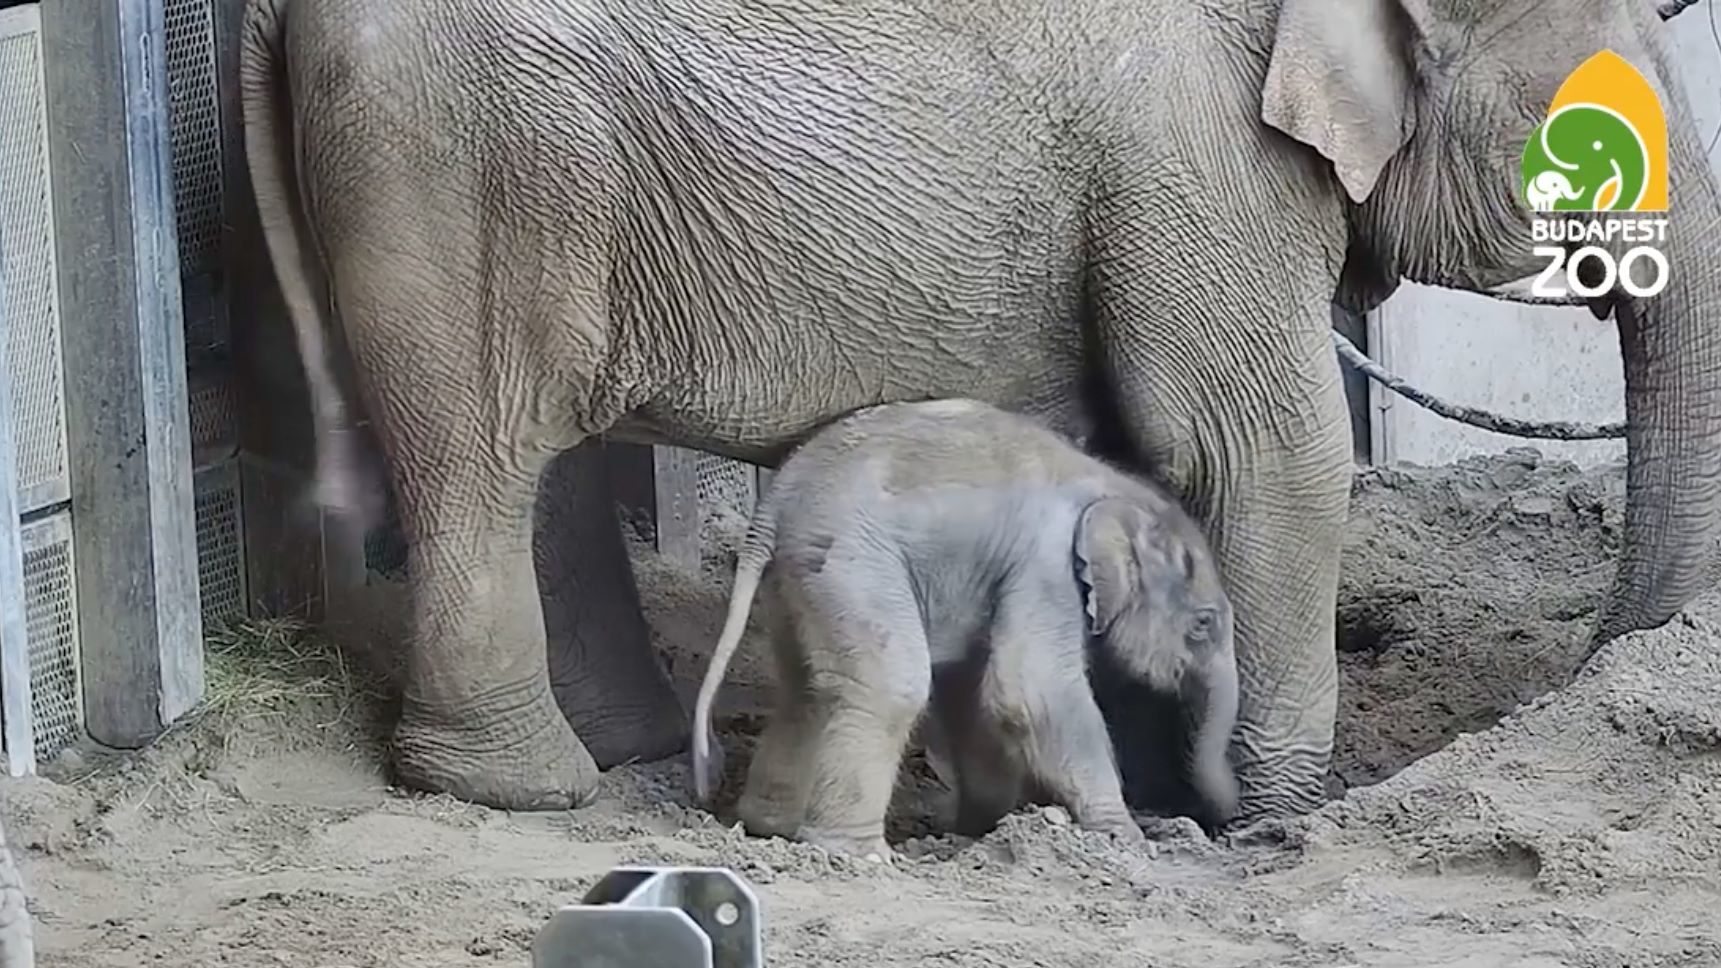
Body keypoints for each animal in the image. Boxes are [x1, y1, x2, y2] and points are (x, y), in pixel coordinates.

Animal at [684, 396, 1239, 854]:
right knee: (892, 683)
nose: (1219, 822)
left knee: (809, 689)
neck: (1114, 488)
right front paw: (1126, 835)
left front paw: (985, 826)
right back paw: (858, 855)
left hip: (797, 577)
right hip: (851, 560)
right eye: (1203, 624)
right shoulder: (1047, 567)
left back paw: (769, 828)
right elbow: (1030, 689)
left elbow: (971, 689)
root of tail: (773, 503)